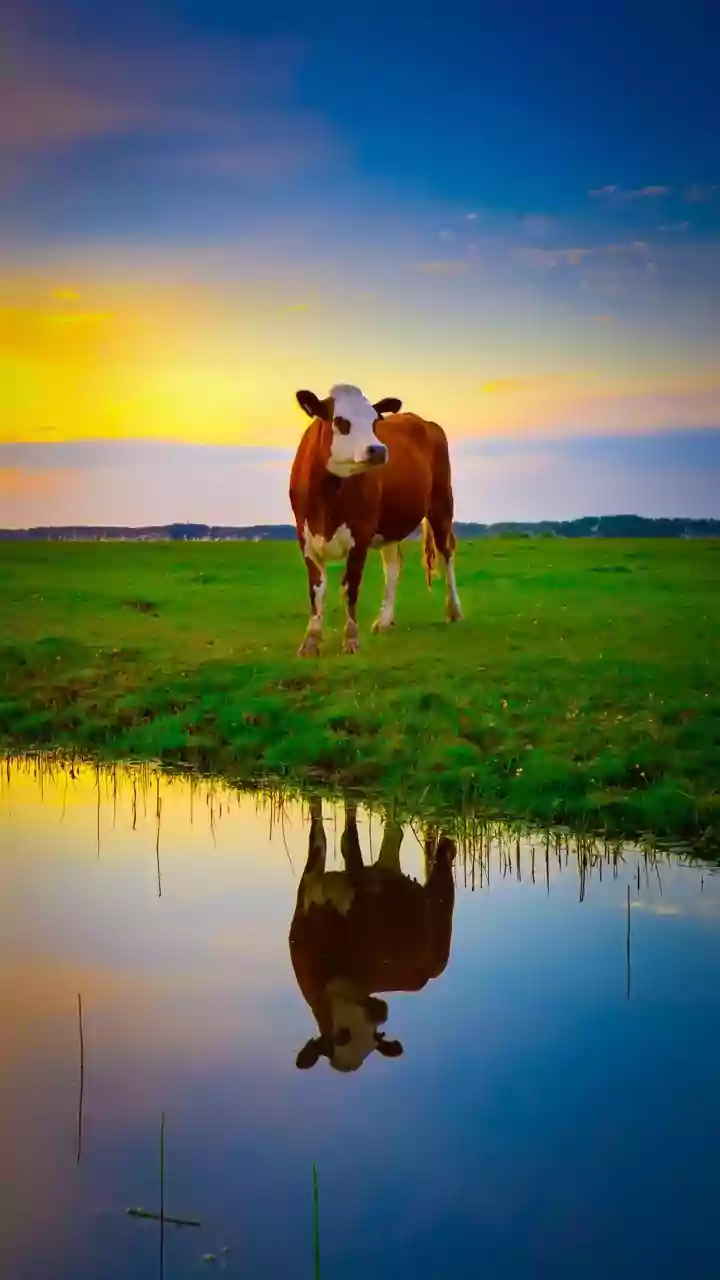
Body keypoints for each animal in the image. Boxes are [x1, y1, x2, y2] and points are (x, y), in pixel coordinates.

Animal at [289, 383, 463, 656]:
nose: (379, 450)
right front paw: (311, 641)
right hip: (390, 524)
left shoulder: (360, 534)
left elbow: (350, 587)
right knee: (393, 566)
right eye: (339, 420)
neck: (327, 499)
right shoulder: (305, 536)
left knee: (447, 555)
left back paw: (454, 610)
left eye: (374, 421)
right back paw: (384, 620)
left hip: (441, 503)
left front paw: (351, 639)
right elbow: (316, 589)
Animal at [289, 799, 456, 1073]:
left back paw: (447, 847)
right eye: (341, 1035)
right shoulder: (309, 885)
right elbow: (322, 831)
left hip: (440, 924)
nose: (381, 1012)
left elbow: (350, 840)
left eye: (375, 1036)